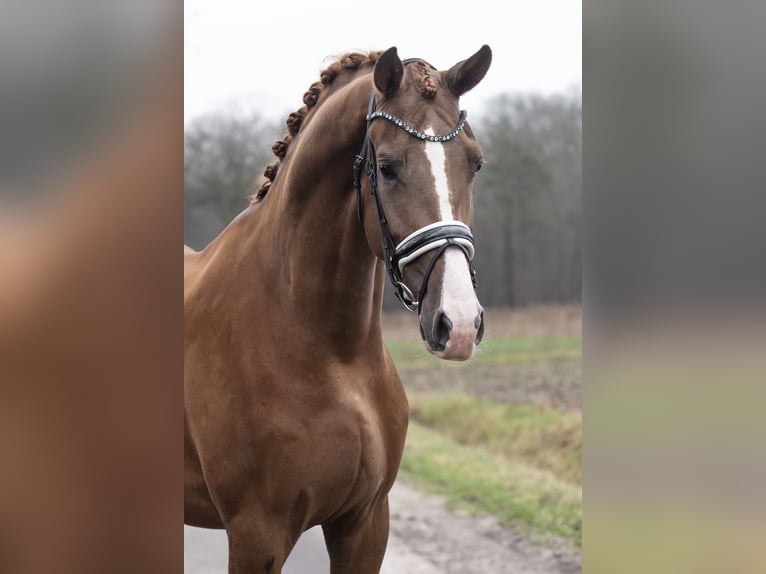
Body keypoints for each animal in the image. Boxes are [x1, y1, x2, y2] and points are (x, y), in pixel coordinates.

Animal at [188, 46, 492, 574]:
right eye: (387, 167)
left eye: (473, 163)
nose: (457, 324)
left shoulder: (365, 523)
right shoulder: (256, 534)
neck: (333, 356)